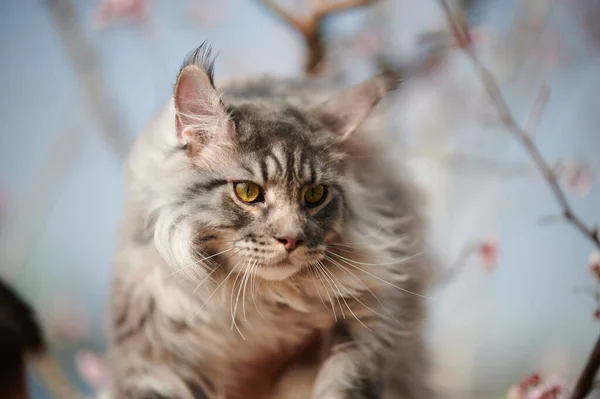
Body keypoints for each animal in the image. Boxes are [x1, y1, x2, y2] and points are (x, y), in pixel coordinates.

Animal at [108, 43, 434, 399]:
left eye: (315, 194)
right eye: (248, 192)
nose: (292, 239)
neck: (261, 305)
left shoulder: (365, 321)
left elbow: (344, 382)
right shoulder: (154, 357)